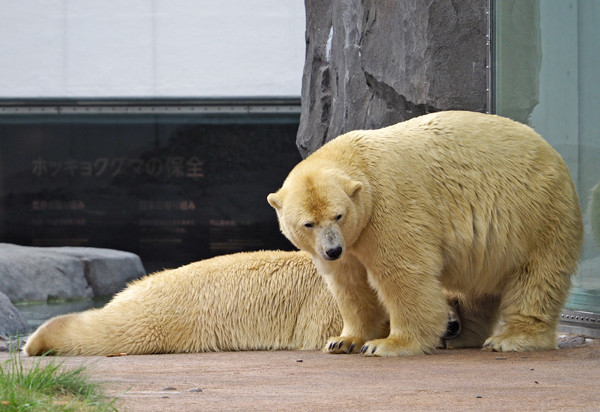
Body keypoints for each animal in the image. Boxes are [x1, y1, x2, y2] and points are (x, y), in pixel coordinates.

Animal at [268, 111, 580, 356]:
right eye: (308, 224)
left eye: (338, 215)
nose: (332, 250)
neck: (359, 161)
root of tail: (554, 155)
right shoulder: (352, 241)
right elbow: (350, 285)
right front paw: (343, 341)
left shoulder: (389, 208)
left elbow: (402, 273)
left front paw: (388, 343)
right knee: (474, 290)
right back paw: (462, 338)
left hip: (537, 214)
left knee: (536, 277)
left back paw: (511, 339)